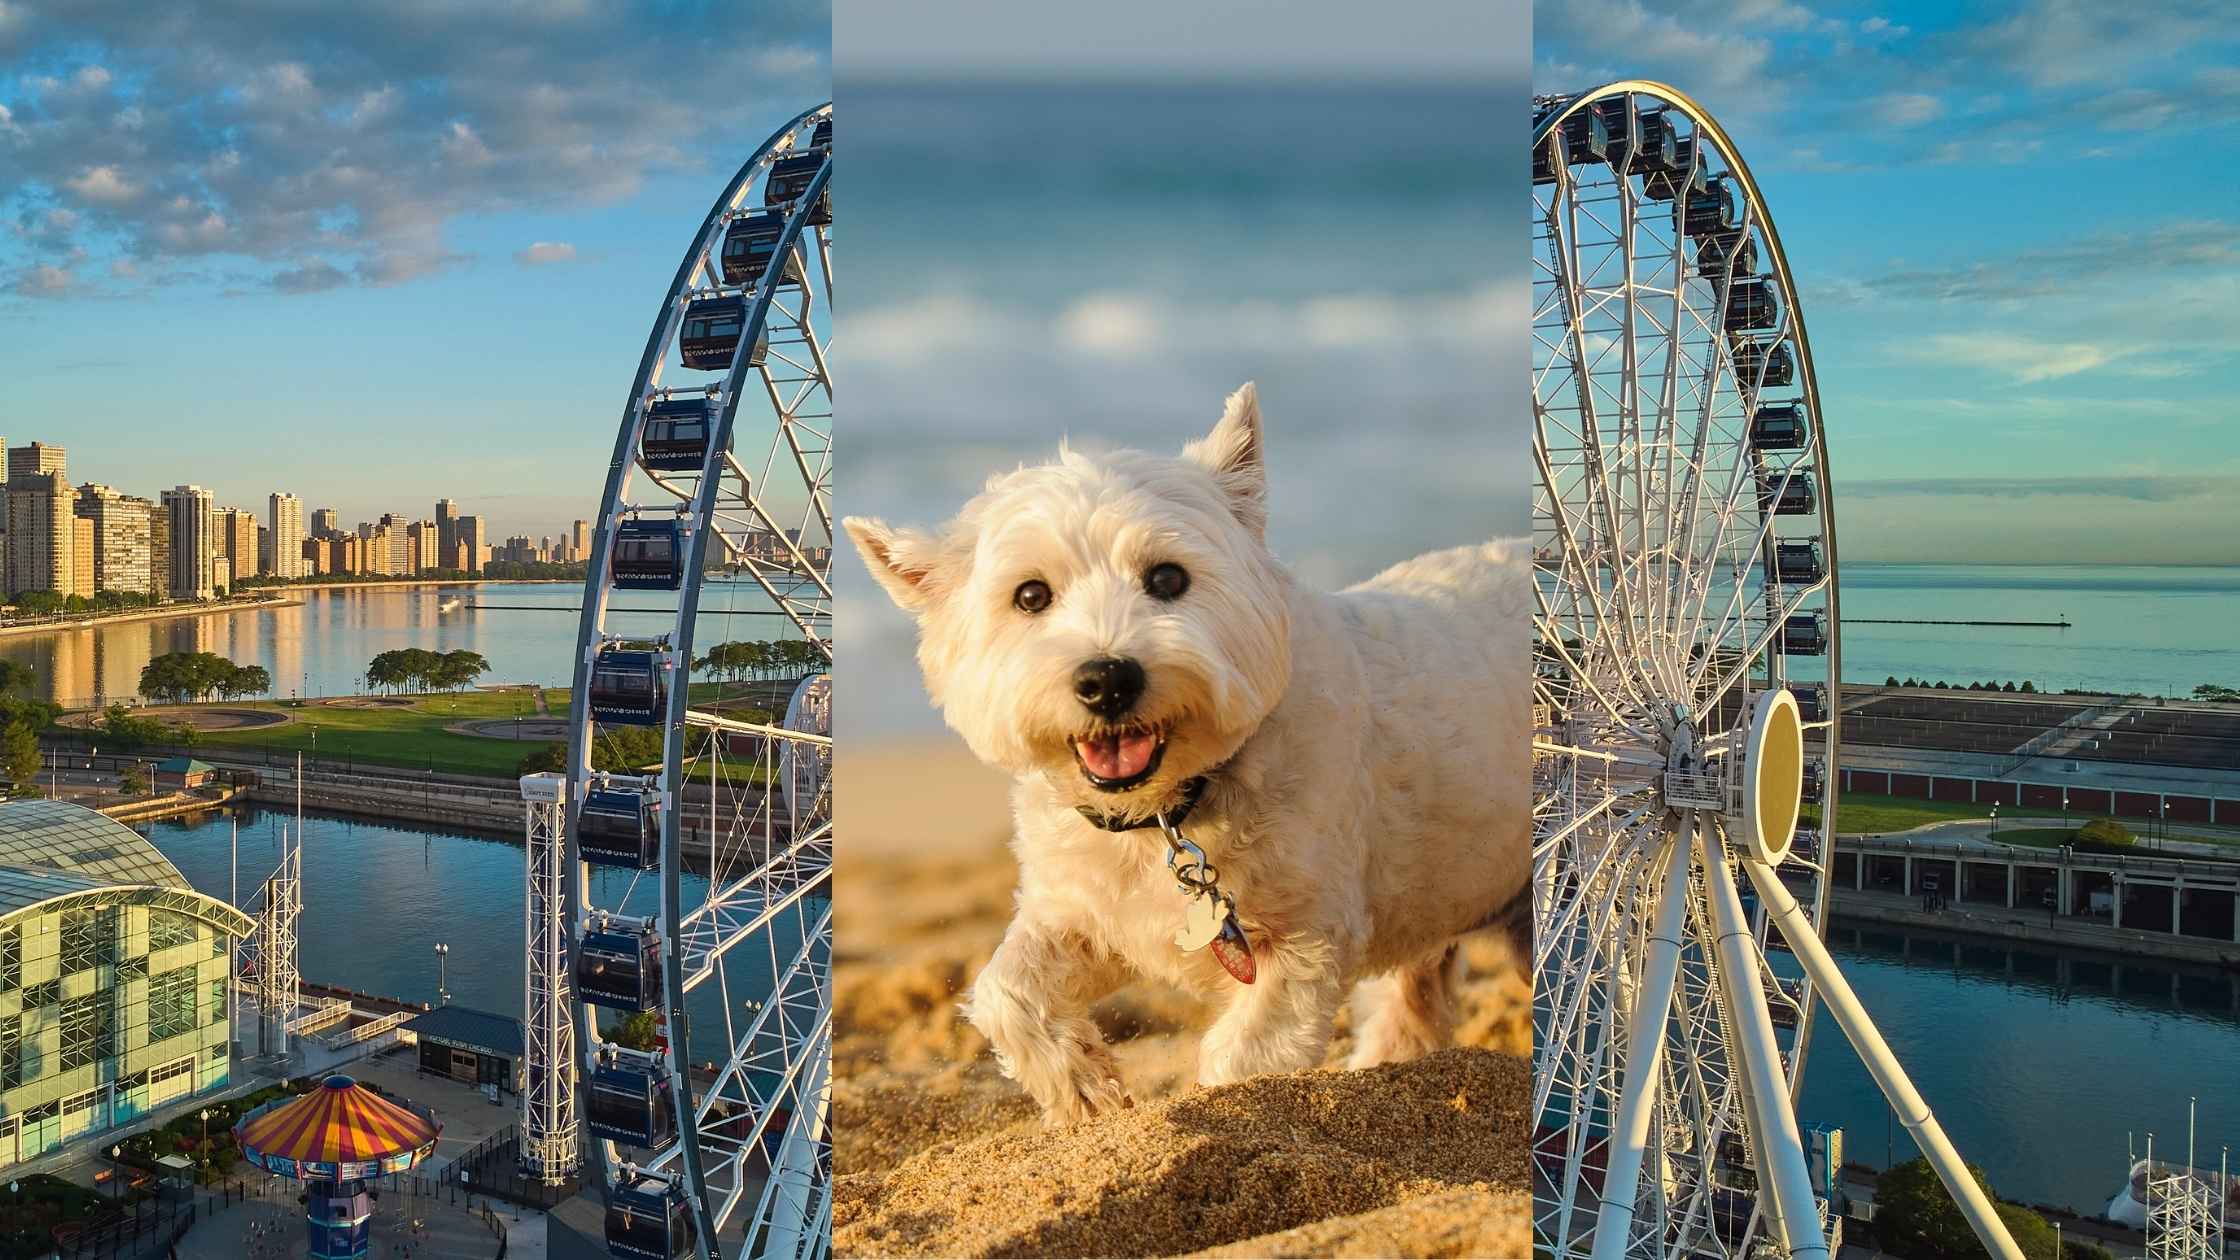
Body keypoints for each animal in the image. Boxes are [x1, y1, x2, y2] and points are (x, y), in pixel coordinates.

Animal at [846, 383, 1532, 1116]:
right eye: (1030, 595)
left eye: (1168, 579)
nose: (1108, 679)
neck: (1168, 809)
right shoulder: (1086, 911)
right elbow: (1006, 990)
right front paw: (1085, 1092)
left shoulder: (1307, 939)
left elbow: (1245, 1058)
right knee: (1413, 1000)